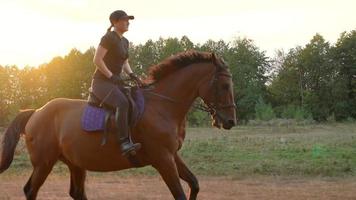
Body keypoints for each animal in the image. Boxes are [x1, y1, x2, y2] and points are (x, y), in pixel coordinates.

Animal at [0, 50, 239, 200]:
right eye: (224, 85)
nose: (230, 121)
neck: (162, 105)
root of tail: (36, 112)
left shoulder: (172, 155)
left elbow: (195, 184)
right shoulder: (163, 158)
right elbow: (179, 194)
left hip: (75, 163)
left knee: (77, 193)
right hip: (44, 163)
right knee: (30, 190)